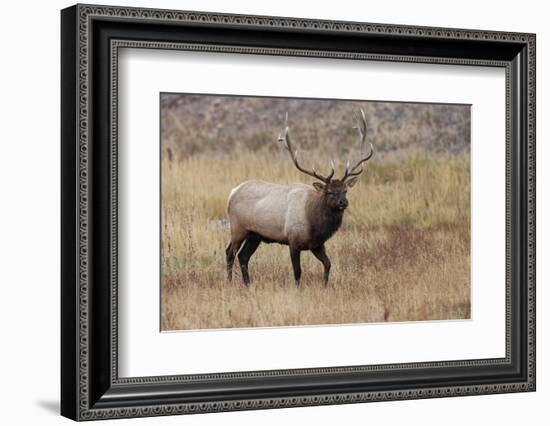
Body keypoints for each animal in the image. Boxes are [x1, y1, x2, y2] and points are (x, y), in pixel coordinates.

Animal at [225, 108, 376, 288]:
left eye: (345, 190)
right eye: (329, 192)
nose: (343, 202)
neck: (315, 224)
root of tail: (232, 193)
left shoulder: (317, 244)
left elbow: (328, 264)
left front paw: (324, 286)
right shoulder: (293, 240)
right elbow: (297, 272)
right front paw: (298, 289)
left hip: (255, 234)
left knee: (243, 256)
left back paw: (248, 285)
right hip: (238, 227)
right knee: (230, 253)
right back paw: (229, 282)